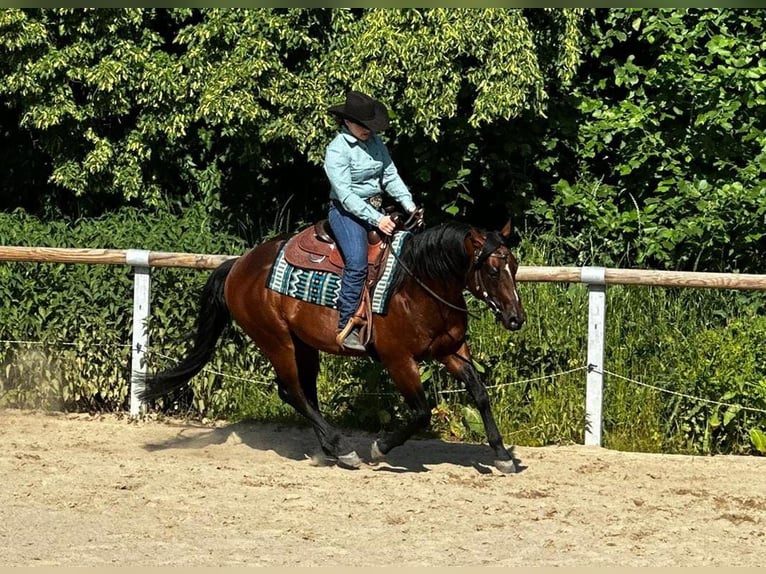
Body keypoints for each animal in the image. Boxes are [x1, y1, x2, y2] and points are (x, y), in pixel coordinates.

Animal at [140, 218, 528, 474]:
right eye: (493, 270)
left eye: (514, 264)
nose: (516, 318)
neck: (416, 285)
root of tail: (238, 265)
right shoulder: (398, 360)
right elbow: (421, 411)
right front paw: (378, 448)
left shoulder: (451, 351)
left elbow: (479, 393)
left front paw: (502, 455)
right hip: (277, 341)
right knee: (293, 392)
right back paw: (342, 448)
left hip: (304, 345)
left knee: (305, 393)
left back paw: (330, 448)